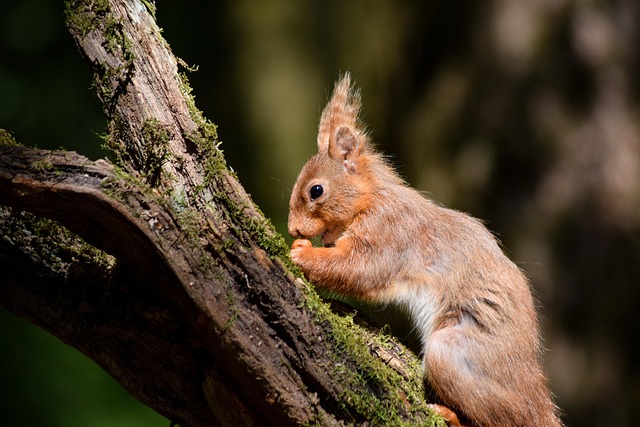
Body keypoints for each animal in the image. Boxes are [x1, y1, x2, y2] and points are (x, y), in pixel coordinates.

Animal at [288, 73, 561, 427]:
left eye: (316, 190)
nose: (292, 228)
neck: (372, 198)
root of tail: (537, 399)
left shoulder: (390, 234)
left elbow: (360, 269)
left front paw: (301, 254)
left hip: (452, 354)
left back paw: (450, 414)